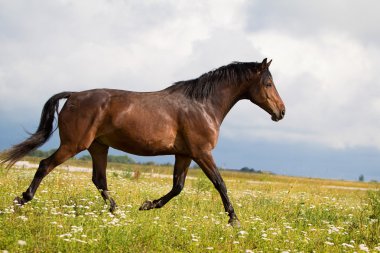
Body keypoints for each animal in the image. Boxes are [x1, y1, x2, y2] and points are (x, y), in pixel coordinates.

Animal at [0, 58, 284, 226]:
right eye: (268, 83)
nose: (281, 112)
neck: (202, 105)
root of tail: (74, 95)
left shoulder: (184, 154)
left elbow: (178, 187)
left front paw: (147, 205)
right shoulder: (202, 152)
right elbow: (220, 184)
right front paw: (234, 220)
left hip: (98, 146)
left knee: (99, 180)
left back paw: (117, 213)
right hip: (74, 145)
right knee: (45, 165)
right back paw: (21, 200)